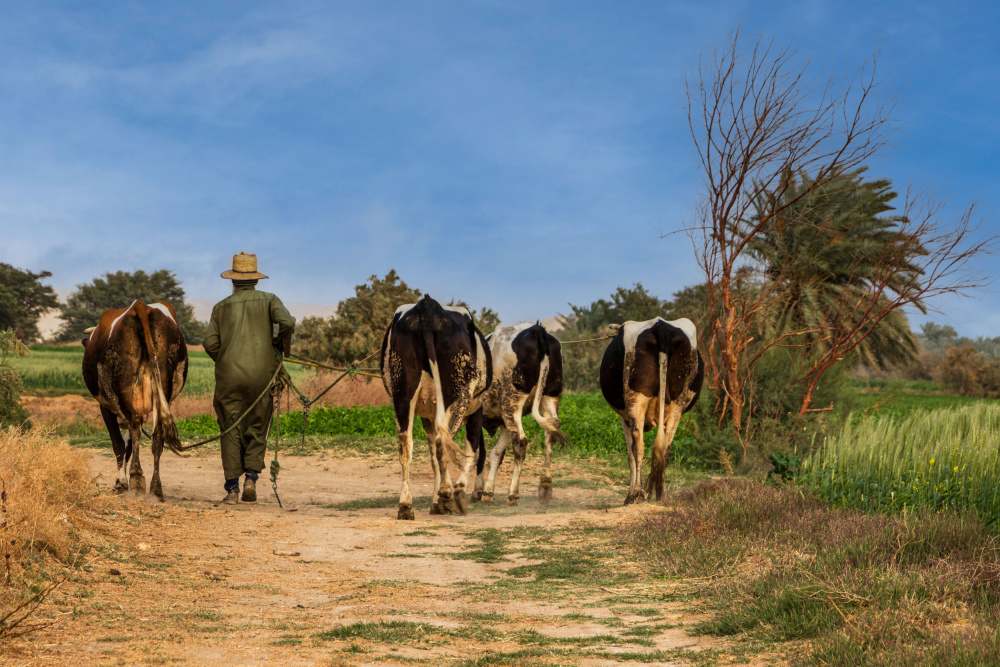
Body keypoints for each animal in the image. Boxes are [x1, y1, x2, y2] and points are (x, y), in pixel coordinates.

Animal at [82, 300, 188, 498]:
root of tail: (141, 306)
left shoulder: (106, 407)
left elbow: (120, 445)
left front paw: (121, 482)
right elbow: (128, 446)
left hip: (125, 394)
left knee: (133, 429)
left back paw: (136, 478)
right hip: (162, 391)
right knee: (157, 435)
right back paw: (155, 487)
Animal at [378, 298, 492, 520]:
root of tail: (428, 306)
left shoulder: (427, 417)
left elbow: (433, 459)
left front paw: (435, 503)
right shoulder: (476, 412)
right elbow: (471, 452)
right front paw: (456, 494)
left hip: (403, 393)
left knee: (405, 445)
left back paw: (406, 506)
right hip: (457, 395)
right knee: (443, 442)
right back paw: (447, 494)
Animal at [474, 324, 568, 506]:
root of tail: (537, 330)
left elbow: (480, 453)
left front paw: (478, 490)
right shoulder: (503, 421)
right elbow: (496, 453)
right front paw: (487, 491)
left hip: (512, 401)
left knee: (520, 442)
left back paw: (513, 493)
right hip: (550, 396)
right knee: (551, 434)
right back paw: (545, 485)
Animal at [600, 320, 704, 506]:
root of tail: (660, 325)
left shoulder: (624, 418)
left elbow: (630, 456)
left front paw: (631, 494)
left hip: (635, 399)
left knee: (638, 446)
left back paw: (636, 493)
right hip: (677, 403)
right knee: (665, 448)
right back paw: (661, 493)